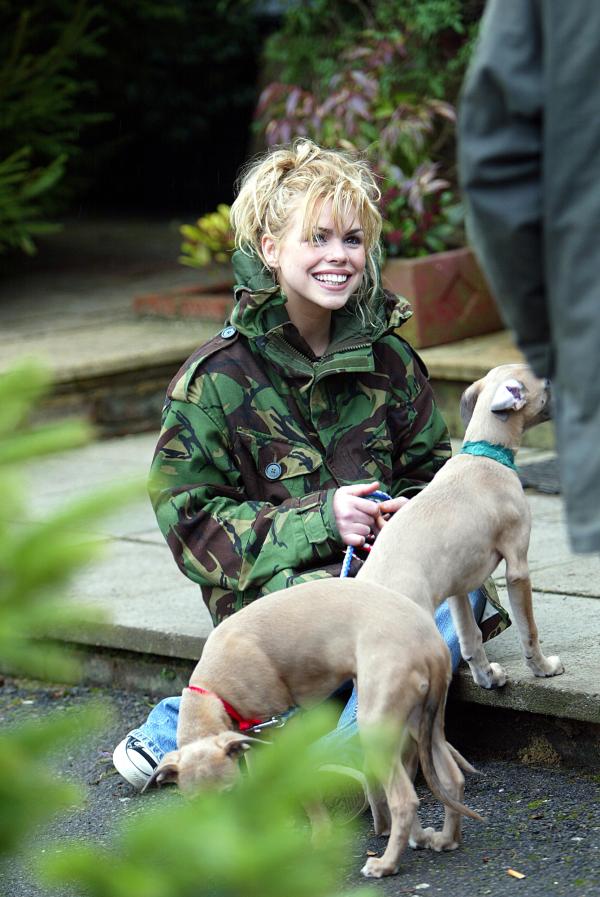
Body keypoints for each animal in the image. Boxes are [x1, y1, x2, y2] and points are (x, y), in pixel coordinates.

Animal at [148, 576, 480, 880]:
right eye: (195, 805)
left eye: (228, 793)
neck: (215, 689)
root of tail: (429, 642)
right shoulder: (253, 739)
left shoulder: (284, 729)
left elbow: (305, 792)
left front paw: (320, 837)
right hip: (422, 723)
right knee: (451, 777)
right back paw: (443, 839)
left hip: (376, 726)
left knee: (405, 799)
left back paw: (386, 864)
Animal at [358, 360, 564, 688]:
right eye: (545, 382)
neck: (485, 454)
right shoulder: (518, 567)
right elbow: (528, 631)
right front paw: (543, 667)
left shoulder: (458, 586)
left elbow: (470, 638)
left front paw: (487, 676)